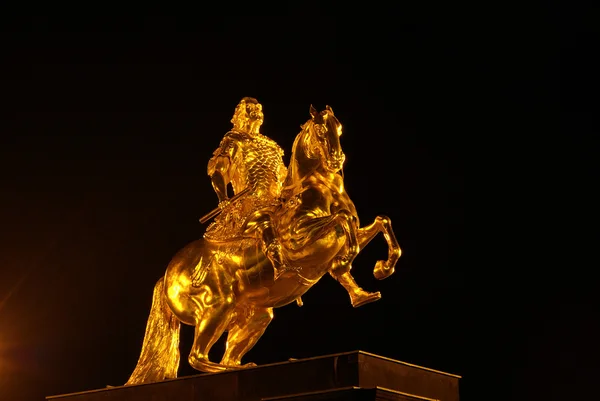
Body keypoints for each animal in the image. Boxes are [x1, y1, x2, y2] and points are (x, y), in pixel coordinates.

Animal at [124, 105, 400, 384]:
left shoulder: (350, 232)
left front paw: (378, 274)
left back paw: (247, 367)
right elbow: (342, 223)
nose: (336, 160)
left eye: (339, 128)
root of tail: (168, 275)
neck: (316, 189)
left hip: (254, 315)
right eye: (321, 130)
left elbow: (381, 222)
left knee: (227, 354)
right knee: (197, 357)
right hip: (216, 308)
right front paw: (347, 265)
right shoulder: (298, 243)